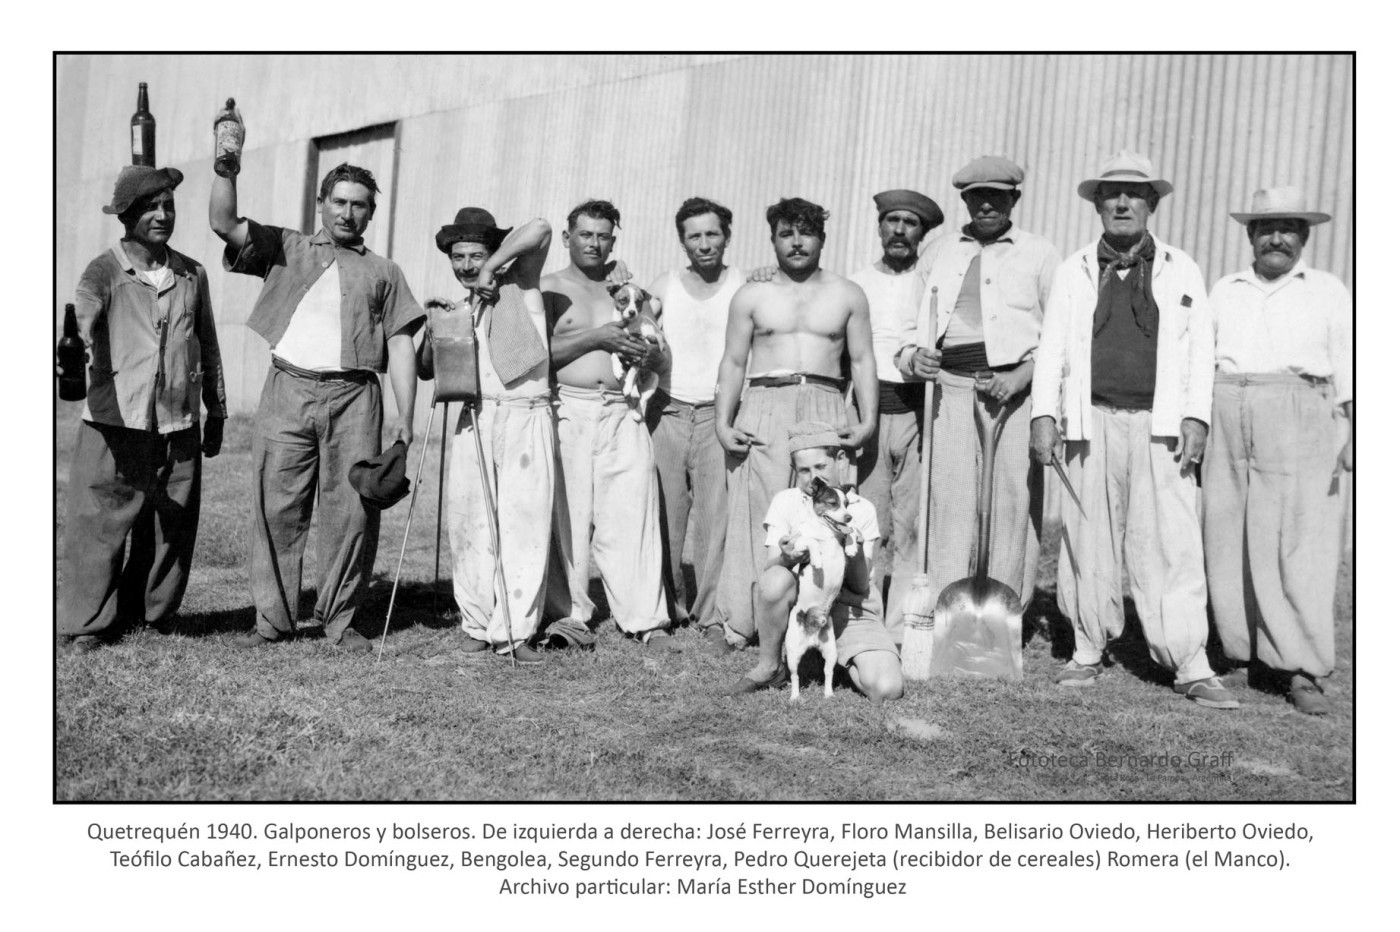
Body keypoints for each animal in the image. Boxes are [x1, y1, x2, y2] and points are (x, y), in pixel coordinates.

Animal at [604, 277, 663, 419]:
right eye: (623, 300)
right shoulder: (615, 344)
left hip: (654, 378)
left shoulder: (639, 354)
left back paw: (637, 410)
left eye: (638, 302)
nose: (632, 312)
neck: (628, 327)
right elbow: (614, 356)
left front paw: (627, 387)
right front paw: (617, 370)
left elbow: (632, 372)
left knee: (642, 398)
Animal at [784, 478, 856, 696]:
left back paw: (828, 694)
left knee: (827, 673)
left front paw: (852, 547)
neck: (827, 532)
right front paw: (817, 561)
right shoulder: (798, 545)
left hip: (831, 651)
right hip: (792, 653)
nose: (849, 517)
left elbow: (852, 533)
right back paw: (795, 697)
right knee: (795, 676)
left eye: (847, 504)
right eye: (833, 503)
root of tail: (813, 638)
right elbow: (811, 542)